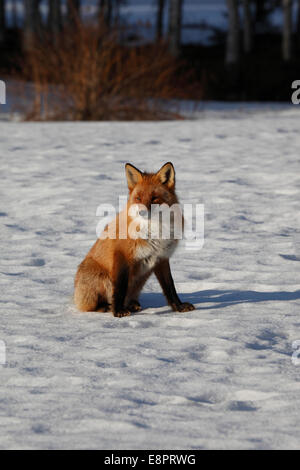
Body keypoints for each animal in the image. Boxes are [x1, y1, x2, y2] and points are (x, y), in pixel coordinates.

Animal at [74, 162, 195, 320]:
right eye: (138, 198)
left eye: (154, 198)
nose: (142, 212)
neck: (154, 232)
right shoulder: (122, 256)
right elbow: (120, 288)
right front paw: (118, 311)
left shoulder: (161, 258)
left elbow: (170, 287)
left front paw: (178, 307)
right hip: (100, 277)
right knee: (90, 306)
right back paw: (107, 307)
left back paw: (132, 304)